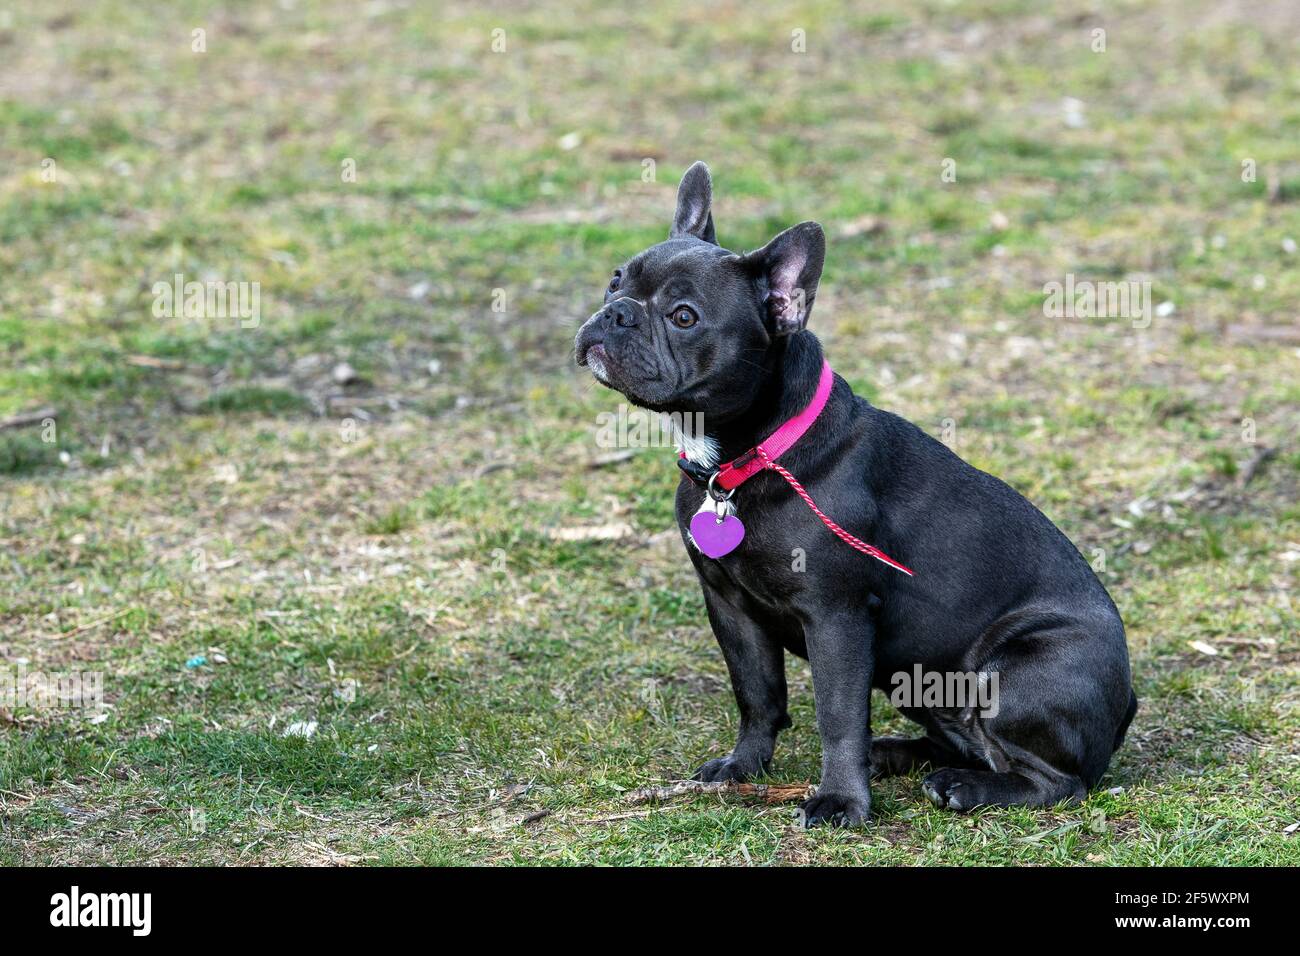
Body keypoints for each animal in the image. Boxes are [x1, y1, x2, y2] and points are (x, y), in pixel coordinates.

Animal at [574, 160, 1133, 827]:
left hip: (1011, 670)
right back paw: (899, 754)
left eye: (684, 316)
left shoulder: (835, 615)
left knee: (1059, 781)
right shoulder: (730, 606)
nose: (617, 313)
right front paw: (743, 766)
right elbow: (756, 694)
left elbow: (837, 716)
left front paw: (841, 799)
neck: (748, 456)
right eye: (615, 281)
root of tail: (1128, 701)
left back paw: (969, 787)